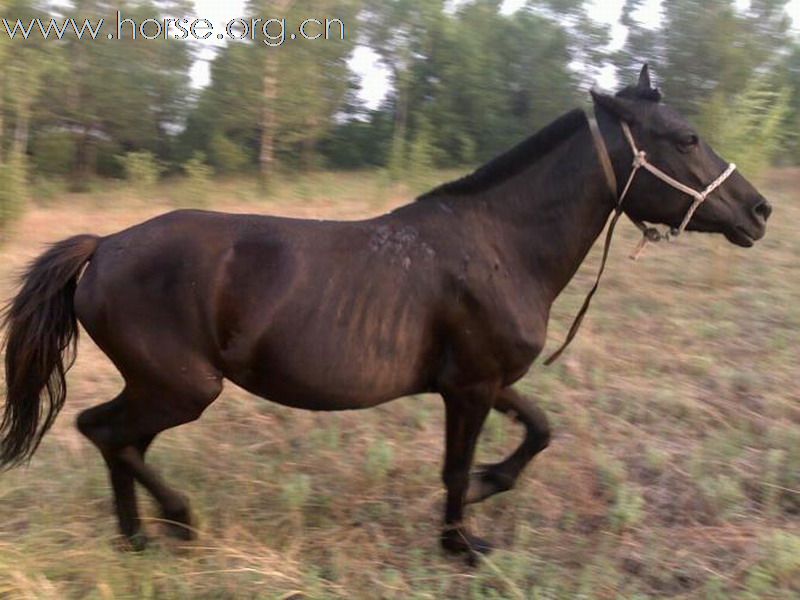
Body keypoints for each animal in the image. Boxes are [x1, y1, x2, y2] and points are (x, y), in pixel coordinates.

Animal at [0, 68, 772, 560]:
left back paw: (140, 538)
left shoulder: (486, 380)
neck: (501, 244)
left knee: (118, 441)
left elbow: (541, 431)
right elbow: (455, 470)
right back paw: (174, 524)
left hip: (164, 388)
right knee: (106, 433)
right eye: (685, 138)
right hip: (181, 387)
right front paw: (462, 543)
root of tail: (104, 246)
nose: (759, 212)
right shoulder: (470, 388)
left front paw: (491, 488)